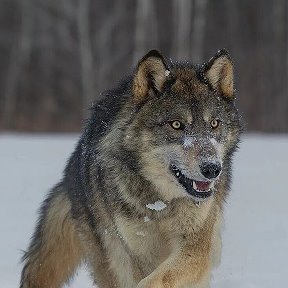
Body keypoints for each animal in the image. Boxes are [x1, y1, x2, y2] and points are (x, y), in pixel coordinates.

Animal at [19, 50, 242, 288]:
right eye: (176, 125)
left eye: (214, 124)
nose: (212, 168)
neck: (161, 203)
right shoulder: (139, 253)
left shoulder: (196, 246)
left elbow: (158, 278)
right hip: (111, 255)